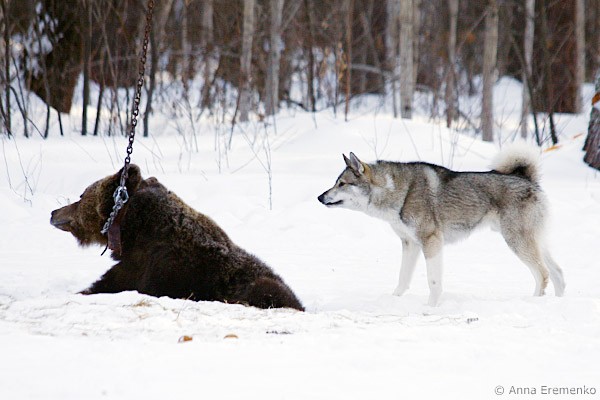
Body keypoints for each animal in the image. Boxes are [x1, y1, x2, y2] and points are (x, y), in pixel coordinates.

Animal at [318, 146, 565, 306]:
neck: (397, 192)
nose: (320, 197)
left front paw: (431, 308)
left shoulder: (431, 242)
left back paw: (533, 303)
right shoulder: (410, 244)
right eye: (335, 182)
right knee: (558, 273)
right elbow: (402, 279)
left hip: (517, 241)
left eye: (342, 184)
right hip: (534, 242)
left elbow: (433, 281)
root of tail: (528, 179)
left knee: (542, 273)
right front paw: (393, 301)